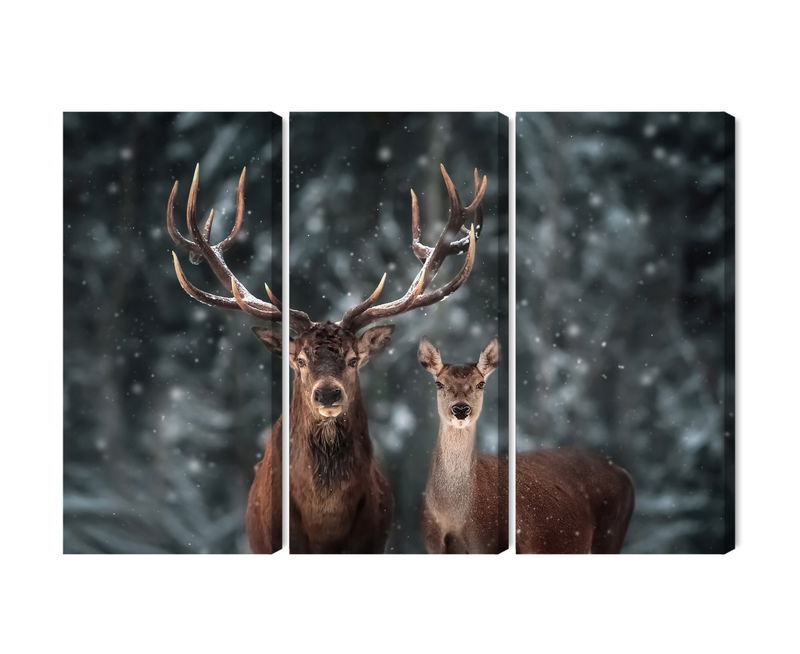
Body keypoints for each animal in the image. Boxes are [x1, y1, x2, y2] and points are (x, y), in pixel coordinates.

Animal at [418, 339, 635, 554]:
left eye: (481, 383)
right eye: (439, 383)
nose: (461, 409)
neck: (453, 515)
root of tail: (624, 473)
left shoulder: (491, 543)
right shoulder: (432, 546)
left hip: (609, 535)